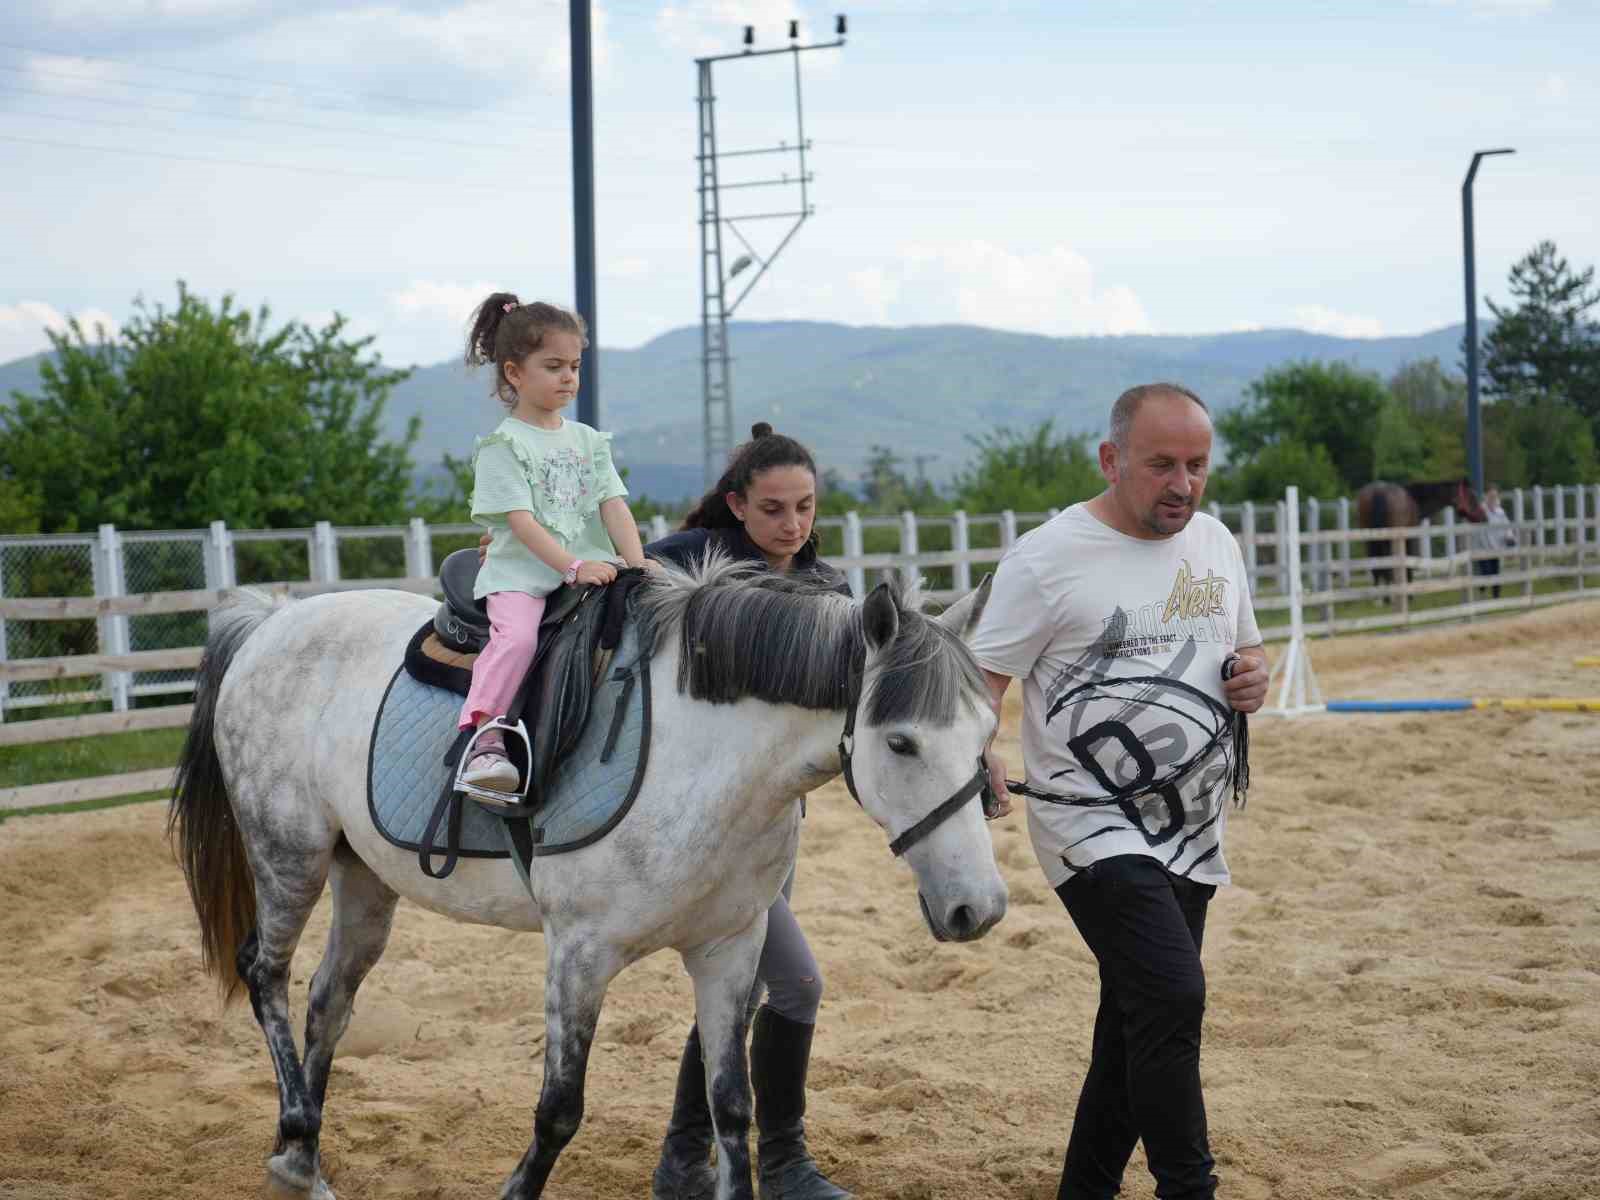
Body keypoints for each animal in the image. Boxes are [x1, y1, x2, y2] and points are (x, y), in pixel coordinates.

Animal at [1356, 483, 1491, 588]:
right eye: (1472, 497)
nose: (1484, 517)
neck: (1415, 500)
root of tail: (1378, 492)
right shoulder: (1408, 539)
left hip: (1370, 537)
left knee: (1375, 562)